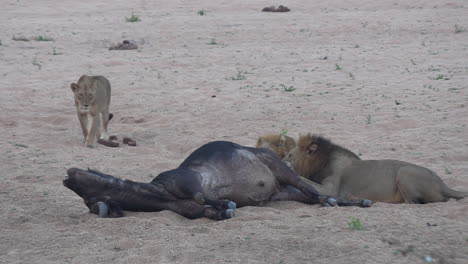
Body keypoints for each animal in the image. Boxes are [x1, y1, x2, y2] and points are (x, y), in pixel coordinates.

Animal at [282, 134, 468, 204]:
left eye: (290, 155)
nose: (282, 161)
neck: (322, 162)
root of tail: (442, 184)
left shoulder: (331, 189)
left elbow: (303, 179)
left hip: (404, 173)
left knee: (413, 203)